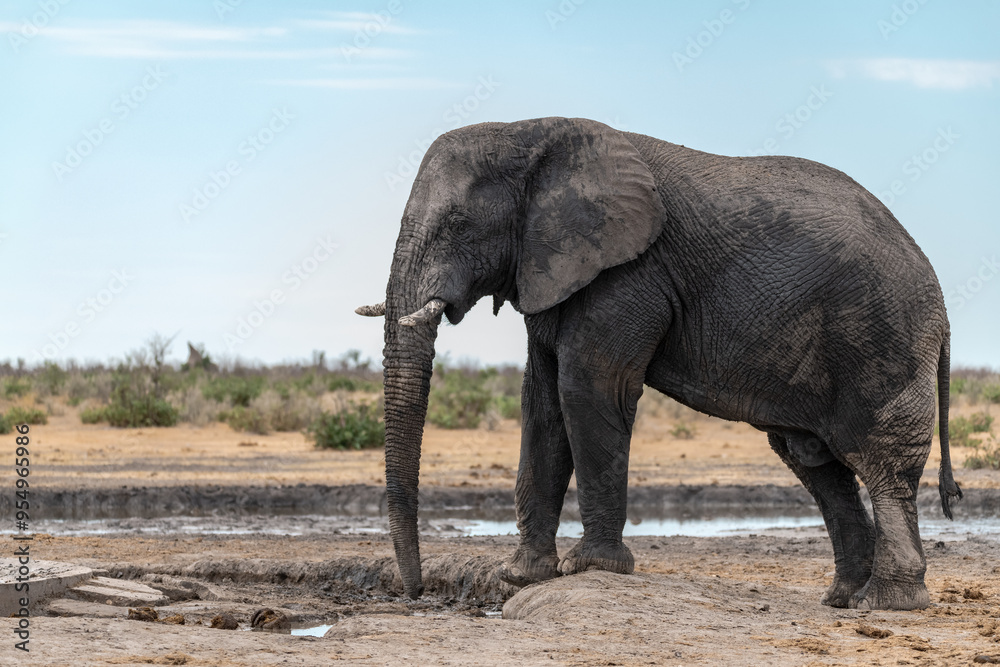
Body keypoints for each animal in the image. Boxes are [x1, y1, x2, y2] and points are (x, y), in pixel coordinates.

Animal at [356, 116, 962, 611]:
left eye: (458, 224)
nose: (415, 592)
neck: (529, 132)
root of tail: (941, 300)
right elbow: (543, 405)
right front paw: (523, 577)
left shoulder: (629, 273)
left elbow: (589, 389)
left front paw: (591, 568)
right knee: (815, 461)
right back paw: (843, 598)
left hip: (883, 338)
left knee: (881, 461)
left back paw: (887, 602)